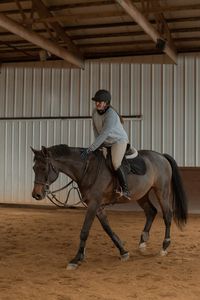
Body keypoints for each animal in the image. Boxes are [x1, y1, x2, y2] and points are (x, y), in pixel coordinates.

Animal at [30, 145, 188, 270]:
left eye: (43, 168)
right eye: (34, 168)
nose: (36, 194)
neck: (88, 170)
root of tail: (161, 156)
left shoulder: (93, 204)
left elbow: (84, 231)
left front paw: (76, 259)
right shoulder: (98, 207)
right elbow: (108, 228)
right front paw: (123, 252)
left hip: (162, 191)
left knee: (167, 215)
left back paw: (164, 247)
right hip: (142, 194)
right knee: (151, 212)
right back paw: (143, 243)